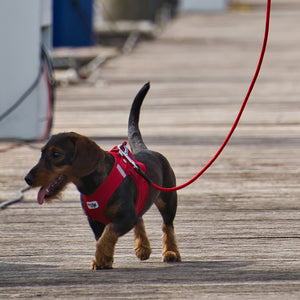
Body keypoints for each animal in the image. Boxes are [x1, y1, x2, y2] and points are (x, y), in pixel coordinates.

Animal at [24, 82, 180, 270]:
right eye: (42, 153)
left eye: (56, 154)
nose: (28, 179)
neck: (94, 184)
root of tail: (146, 149)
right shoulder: (95, 220)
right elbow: (102, 239)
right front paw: (104, 260)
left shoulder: (125, 218)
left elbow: (107, 235)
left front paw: (100, 260)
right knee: (141, 219)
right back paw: (142, 248)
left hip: (167, 198)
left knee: (167, 225)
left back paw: (171, 252)